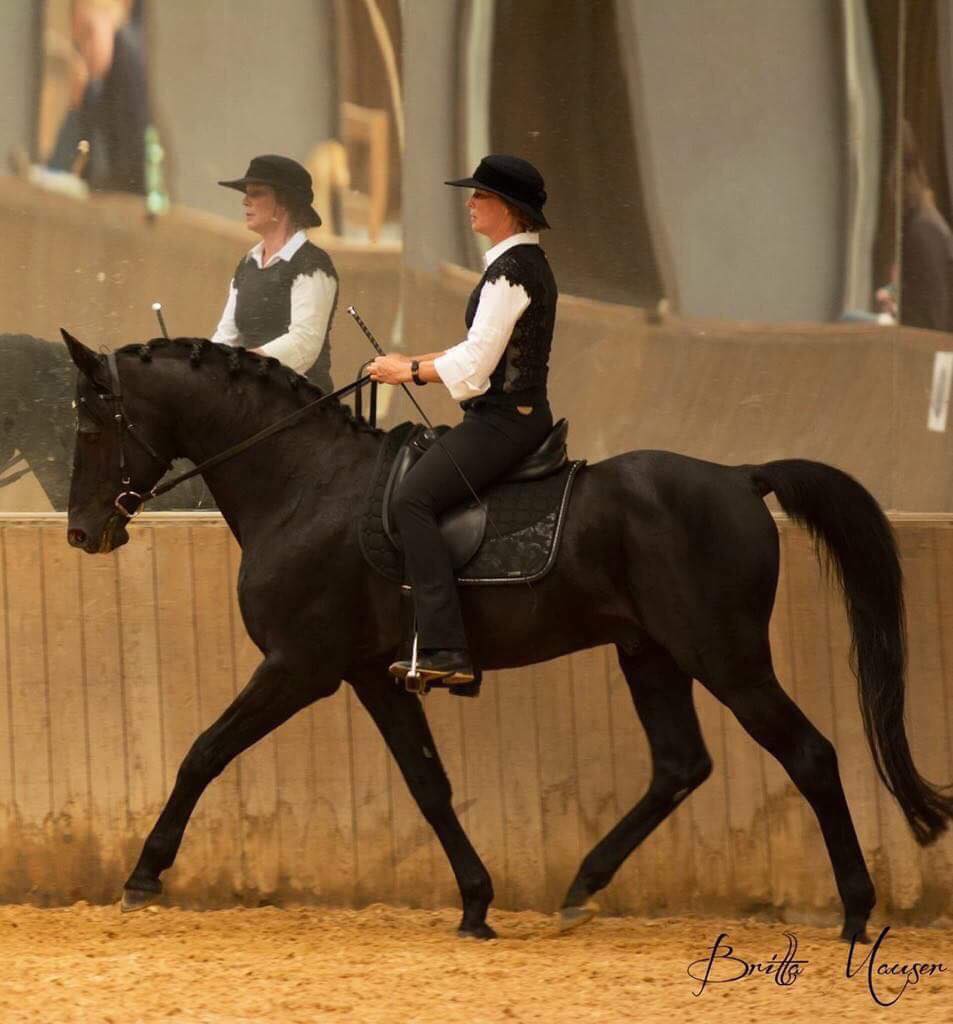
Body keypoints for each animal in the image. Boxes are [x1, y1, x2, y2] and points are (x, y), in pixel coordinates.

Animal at [61, 331, 953, 942]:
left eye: (94, 426)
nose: (80, 534)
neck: (306, 484)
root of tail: (740, 478)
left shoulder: (299, 666)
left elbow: (203, 752)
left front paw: (143, 874)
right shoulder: (371, 672)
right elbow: (428, 784)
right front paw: (475, 903)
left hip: (725, 657)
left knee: (809, 756)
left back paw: (854, 912)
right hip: (650, 654)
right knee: (679, 765)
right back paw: (581, 887)